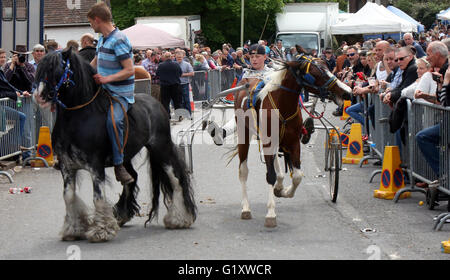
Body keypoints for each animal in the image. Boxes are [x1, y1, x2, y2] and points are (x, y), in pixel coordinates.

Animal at [34, 49, 196, 242]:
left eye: (55, 68)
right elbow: (68, 196)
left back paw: (179, 219)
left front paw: (101, 230)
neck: (78, 118)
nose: (38, 96)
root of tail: (156, 104)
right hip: (126, 157)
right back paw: (122, 214)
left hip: (160, 149)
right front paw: (73, 229)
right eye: (40, 68)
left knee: (176, 179)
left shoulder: (95, 166)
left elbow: (98, 197)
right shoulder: (67, 166)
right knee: (131, 177)